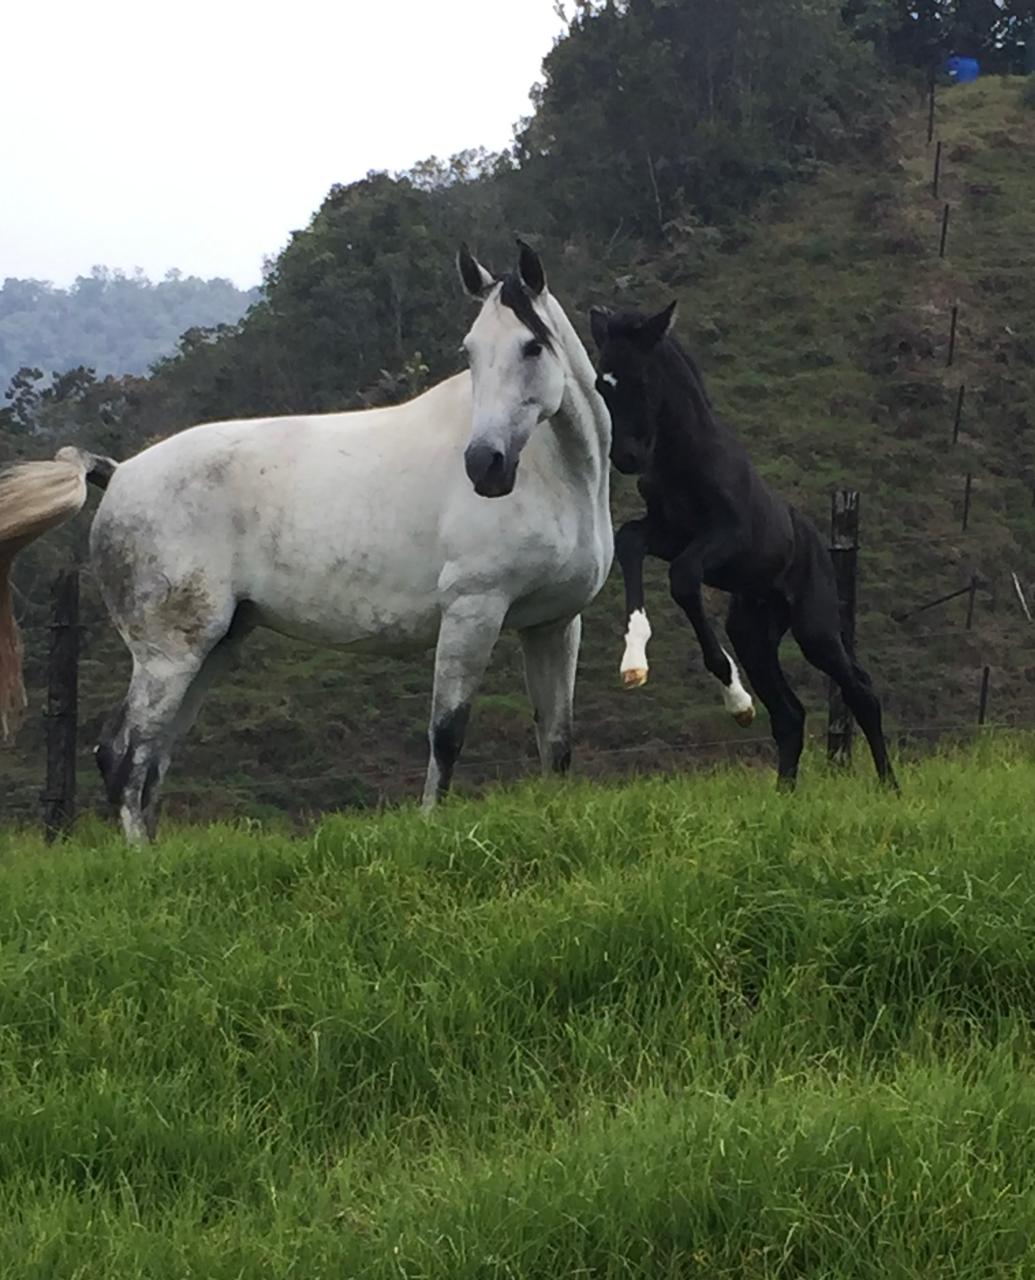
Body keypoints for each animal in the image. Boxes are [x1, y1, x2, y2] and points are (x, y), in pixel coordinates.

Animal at [0, 242, 613, 841]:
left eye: (532, 346)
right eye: (470, 352)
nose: (484, 466)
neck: (556, 474)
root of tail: (119, 471)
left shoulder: (554, 624)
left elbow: (556, 740)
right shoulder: (473, 610)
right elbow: (447, 733)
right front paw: (431, 827)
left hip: (216, 645)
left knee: (153, 761)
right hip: (168, 656)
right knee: (124, 756)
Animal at [588, 302, 897, 791]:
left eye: (642, 380)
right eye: (602, 384)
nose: (627, 458)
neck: (685, 458)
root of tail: (815, 542)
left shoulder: (727, 538)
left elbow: (683, 578)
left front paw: (736, 699)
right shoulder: (667, 534)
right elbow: (630, 541)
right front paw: (633, 661)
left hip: (816, 629)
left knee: (860, 691)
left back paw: (891, 786)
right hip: (754, 632)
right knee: (790, 715)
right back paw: (784, 795)